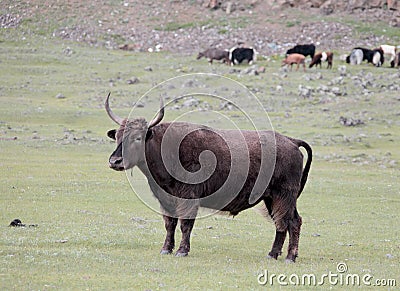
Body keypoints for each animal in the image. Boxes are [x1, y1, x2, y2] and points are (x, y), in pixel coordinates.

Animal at [106, 94, 312, 264]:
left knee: (292, 222)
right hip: (272, 198)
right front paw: (166, 249)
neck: (166, 147)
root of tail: (292, 141)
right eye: (117, 136)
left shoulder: (188, 198)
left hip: (284, 196)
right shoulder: (166, 199)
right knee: (282, 223)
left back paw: (290, 257)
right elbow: (169, 224)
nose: (115, 161)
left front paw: (182, 251)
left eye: (137, 138)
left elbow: (185, 224)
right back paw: (273, 254)